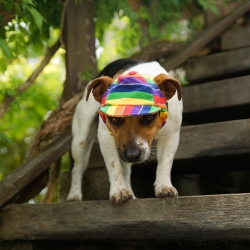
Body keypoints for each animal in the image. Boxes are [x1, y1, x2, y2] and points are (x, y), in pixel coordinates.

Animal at [66, 59, 183, 204]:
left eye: (149, 117)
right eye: (114, 119)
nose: (132, 155)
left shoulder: (171, 136)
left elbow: (165, 163)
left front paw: (164, 186)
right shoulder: (105, 138)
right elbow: (114, 166)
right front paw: (119, 190)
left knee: (126, 172)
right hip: (81, 140)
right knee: (77, 168)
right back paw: (74, 194)